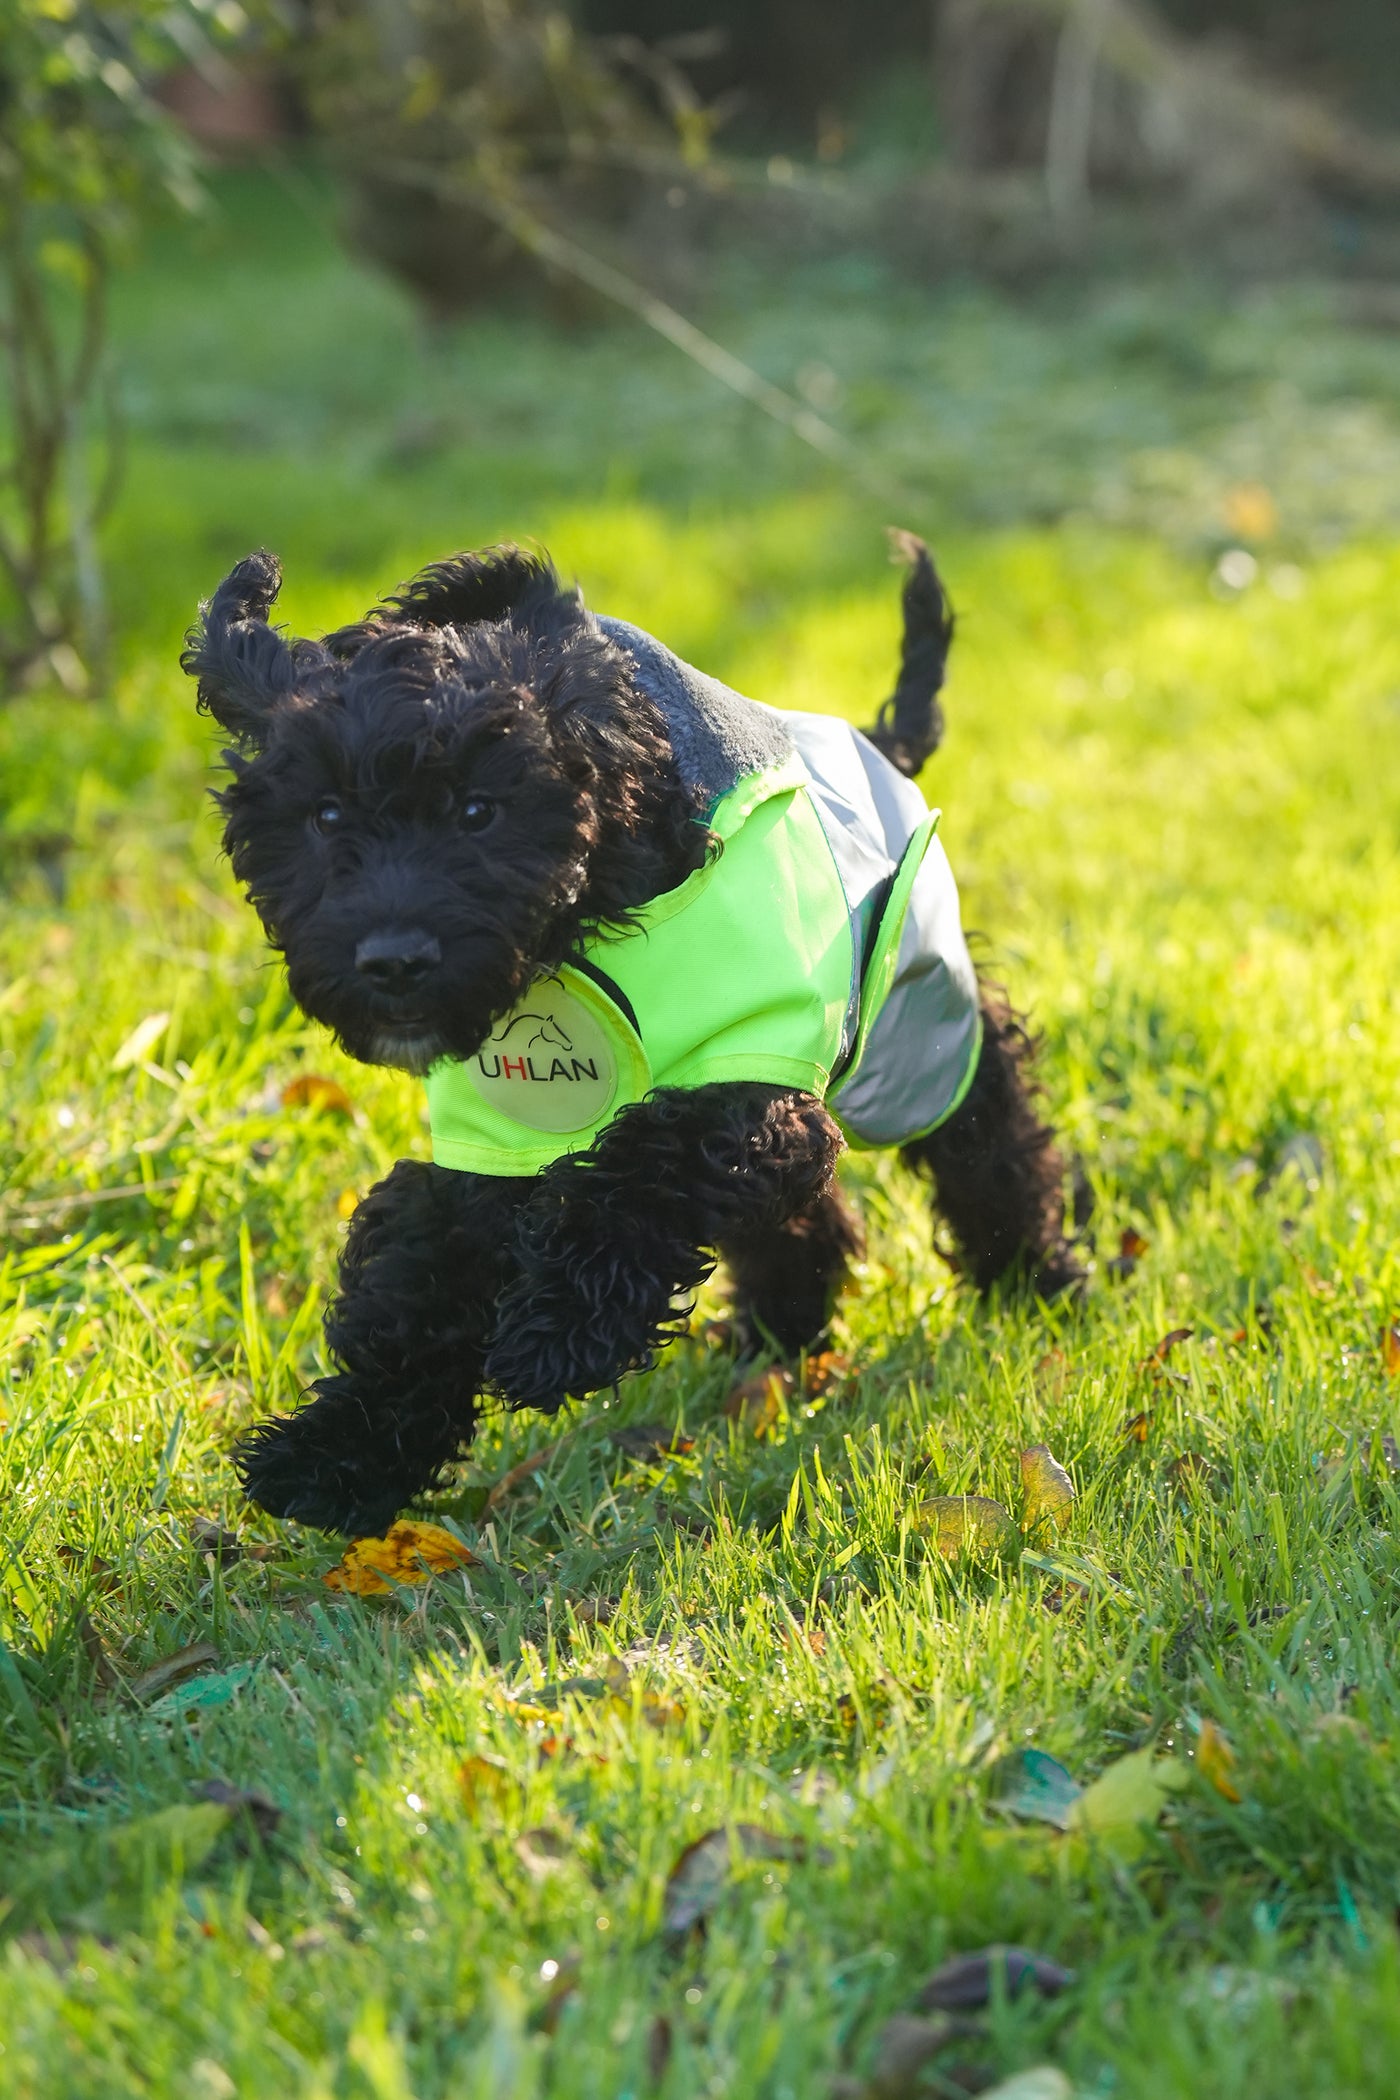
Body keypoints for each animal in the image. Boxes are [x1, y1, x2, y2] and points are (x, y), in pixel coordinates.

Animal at [183, 533, 1083, 1537]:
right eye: (325, 816)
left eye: (479, 810)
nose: (393, 961)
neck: (589, 915)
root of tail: (878, 747)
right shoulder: (493, 1139)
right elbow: (419, 1274)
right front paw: (340, 1454)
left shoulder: (750, 1072)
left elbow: (647, 1165)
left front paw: (559, 1337)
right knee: (805, 1219)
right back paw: (776, 1333)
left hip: (919, 1021)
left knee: (990, 1134)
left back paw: (1036, 1280)